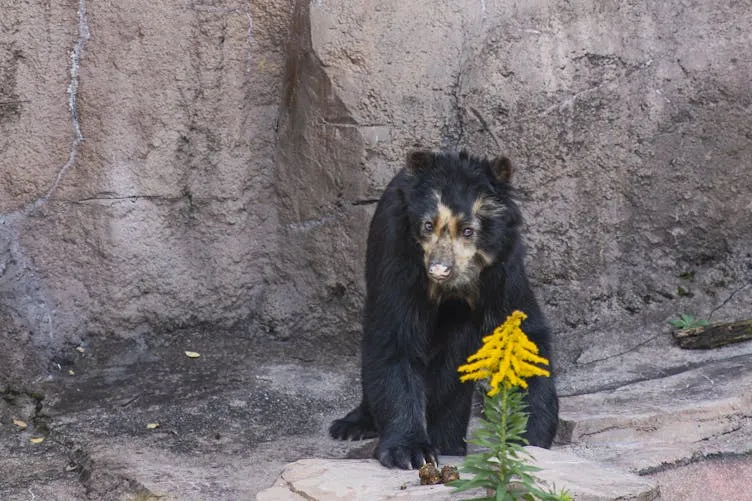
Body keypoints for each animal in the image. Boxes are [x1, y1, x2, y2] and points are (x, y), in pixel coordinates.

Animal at [329, 150, 558, 469]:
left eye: (468, 231)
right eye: (428, 225)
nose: (439, 269)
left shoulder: (502, 270)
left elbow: (524, 336)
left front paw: (529, 435)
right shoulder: (399, 257)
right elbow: (394, 338)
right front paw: (411, 452)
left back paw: (450, 442)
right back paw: (351, 426)